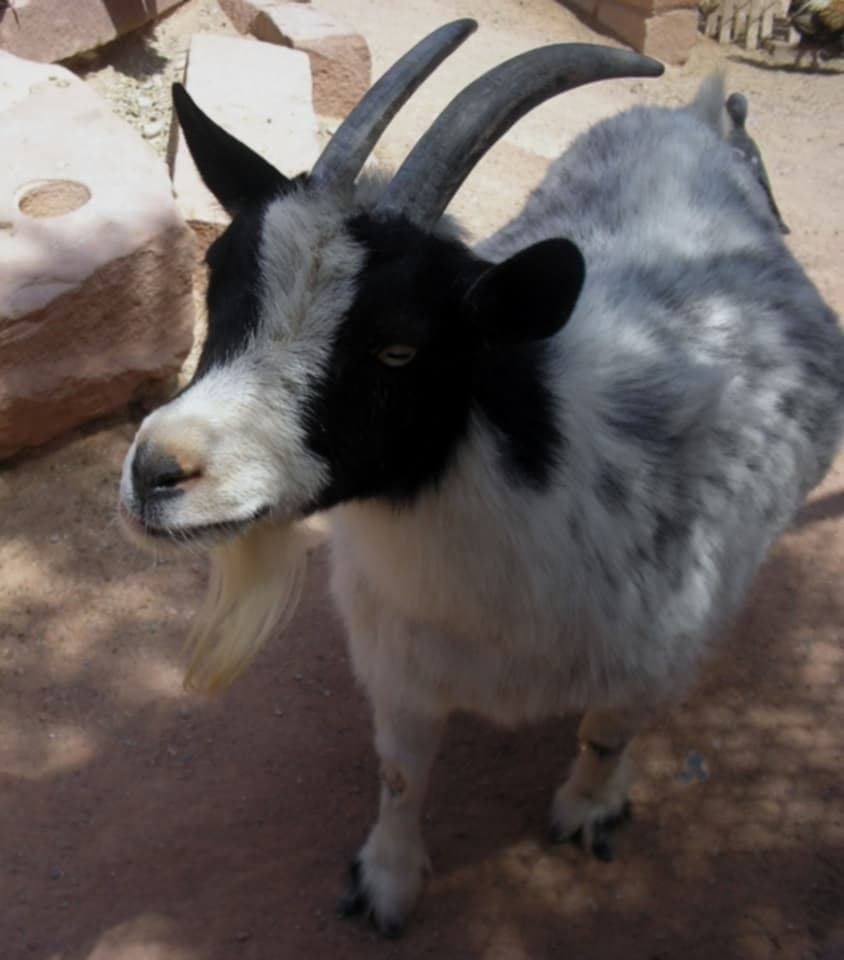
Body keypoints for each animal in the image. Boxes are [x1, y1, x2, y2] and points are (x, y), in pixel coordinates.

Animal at [118, 20, 844, 936]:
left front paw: (590, 809)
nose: (157, 472)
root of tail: (693, 120)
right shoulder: (400, 662)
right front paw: (386, 884)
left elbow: (607, 733)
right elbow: (401, 774)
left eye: (399, 348)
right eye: (220, 289)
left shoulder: (654, 656)